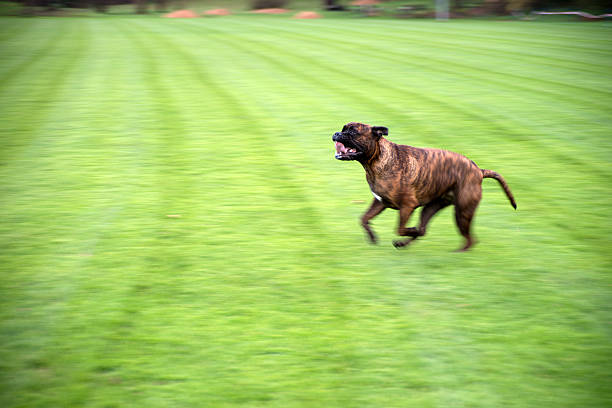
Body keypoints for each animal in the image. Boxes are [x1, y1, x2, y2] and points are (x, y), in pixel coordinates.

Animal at [330, 121, 516, 250]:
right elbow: (364, 219)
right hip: (431, 208)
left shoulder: (407, 206)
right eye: (343, 128)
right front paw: (372, 237)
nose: (337, 133)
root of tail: (479, 170)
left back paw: (458, 253)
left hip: (463, 211)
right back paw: (404, 243)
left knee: (469, 239)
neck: (375, 161)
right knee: (424, 229)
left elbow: (400, 228)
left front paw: (409, 230)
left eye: (352, 131)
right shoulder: (380, 202)